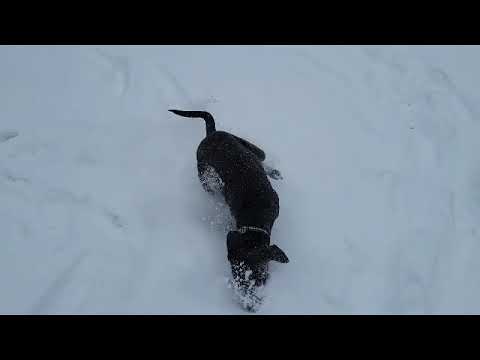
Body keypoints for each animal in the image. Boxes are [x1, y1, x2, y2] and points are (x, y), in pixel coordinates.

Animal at [170, 109, 286, 310]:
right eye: (235, 275)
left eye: (260, 279)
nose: (249, 308)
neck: (254, 216)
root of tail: (212, 133)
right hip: (204, 174)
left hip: (247, 146)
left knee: (261, 157)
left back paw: (272, 172)